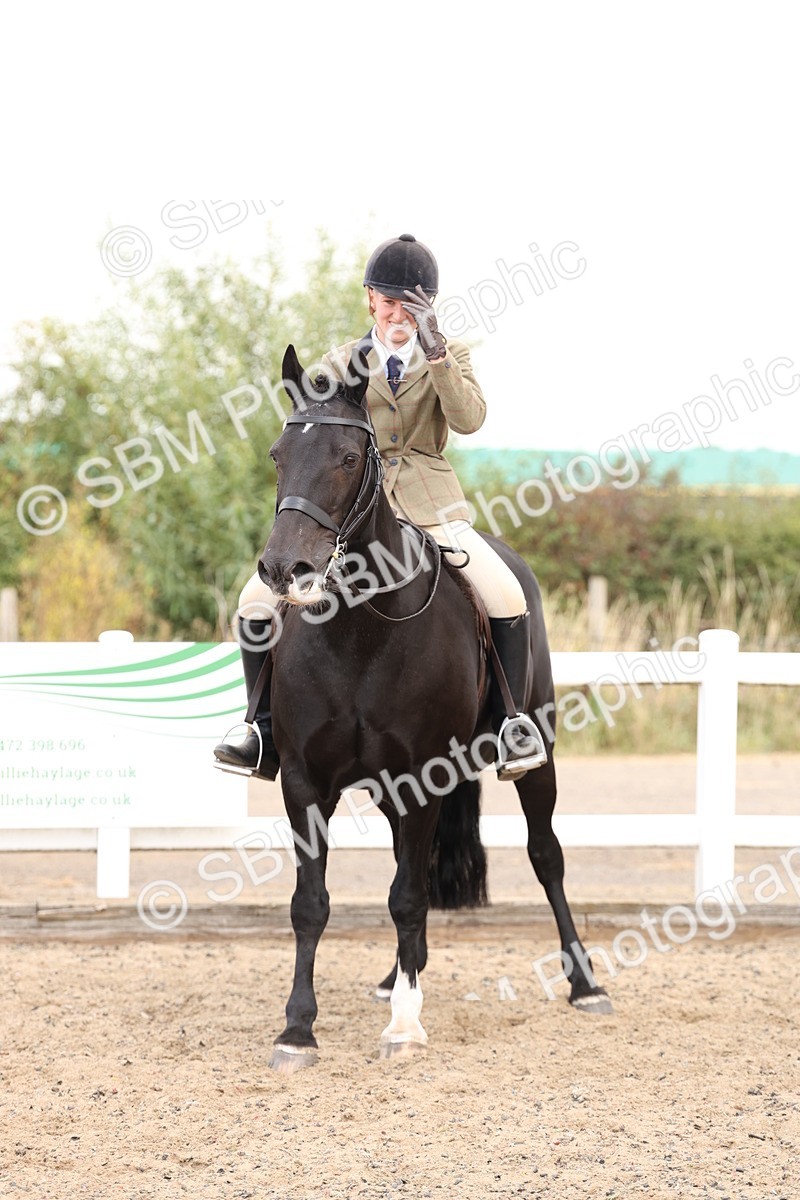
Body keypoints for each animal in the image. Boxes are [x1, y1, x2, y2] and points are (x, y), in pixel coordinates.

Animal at [257, 344, 612, 1072]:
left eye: (348, 457)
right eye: (279, 454)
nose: (283, 570)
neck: (359, 629)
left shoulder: (418, 778)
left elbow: (407, 896)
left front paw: (404, 1026)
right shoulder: (305, 783)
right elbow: (313, 903)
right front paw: (298, 1029)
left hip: (534, 760)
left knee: (545, 856)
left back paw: (584, 984)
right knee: (412, 868)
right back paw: (397, 975)